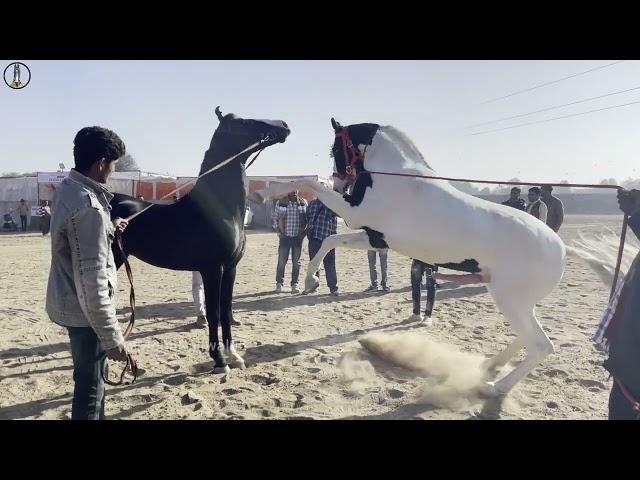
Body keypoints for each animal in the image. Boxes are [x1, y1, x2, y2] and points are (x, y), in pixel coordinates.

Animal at [110, 108, 290, 372]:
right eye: (244, 122)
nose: (284, 126)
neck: (219, 211)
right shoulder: (212, 269)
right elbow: (214, 313)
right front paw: (219, 360)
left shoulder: (231, 269)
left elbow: (226, 311)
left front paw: (234, 355)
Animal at [252, 118, 568, 396]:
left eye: (336, 149)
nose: (341, 183)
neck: (397, 179)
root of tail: (562, 249)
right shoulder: (373, 237)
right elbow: (330, 240)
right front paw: (312, 281)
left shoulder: (356, 217)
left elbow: (311, 183)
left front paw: (264, 194)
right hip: (515, 300)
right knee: (528, 338)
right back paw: (490, 364)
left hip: (510, 299)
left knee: (541, 345)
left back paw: (494, 388)